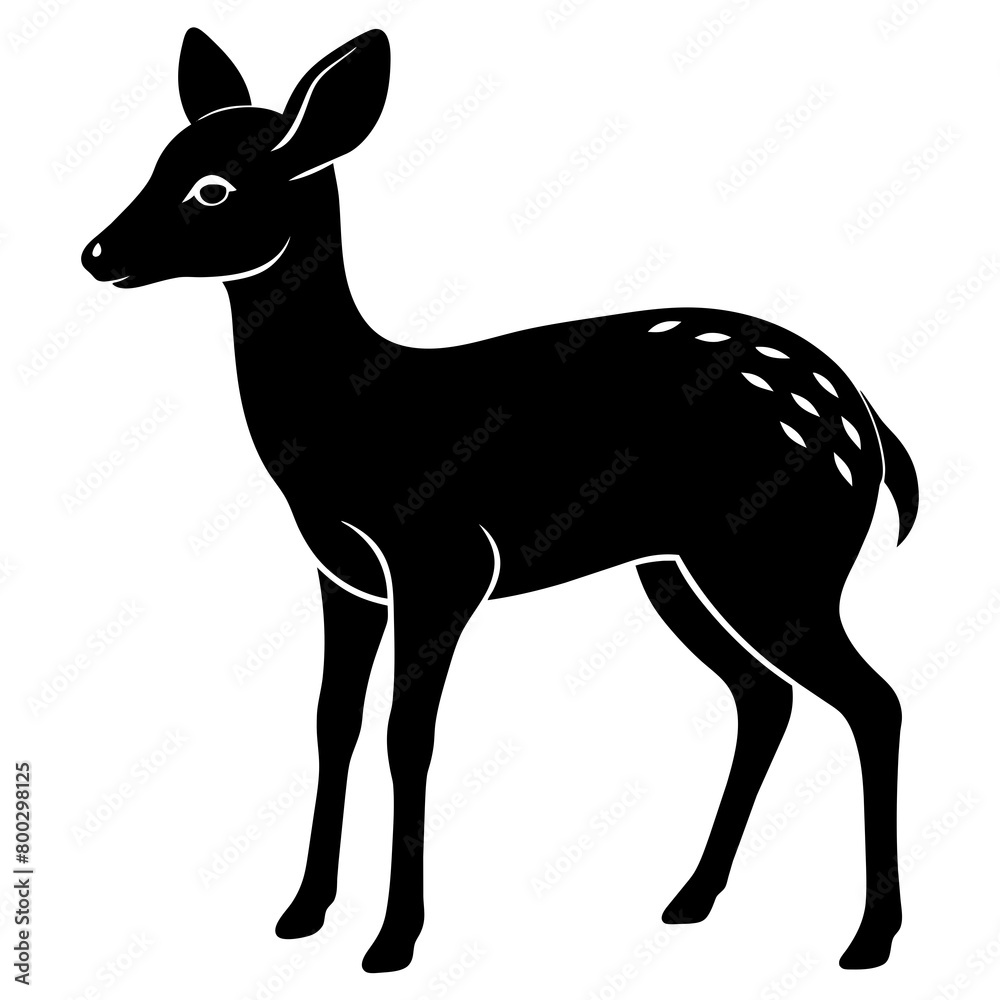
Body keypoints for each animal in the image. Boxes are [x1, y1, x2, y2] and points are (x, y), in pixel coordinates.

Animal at [81, 27, 917, 974]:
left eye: (212, 188)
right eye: (157, 160)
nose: (97, 254)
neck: (350, 419)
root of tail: (872, 428)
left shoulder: (440, 560)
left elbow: (407, 735)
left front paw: (393, 941)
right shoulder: (343, 572)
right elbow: (333, 721)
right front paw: (301, 913)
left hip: (779, 558)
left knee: (873, 701)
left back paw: (869, 939)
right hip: (679, 568)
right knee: (767, 697)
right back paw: (692, 898)